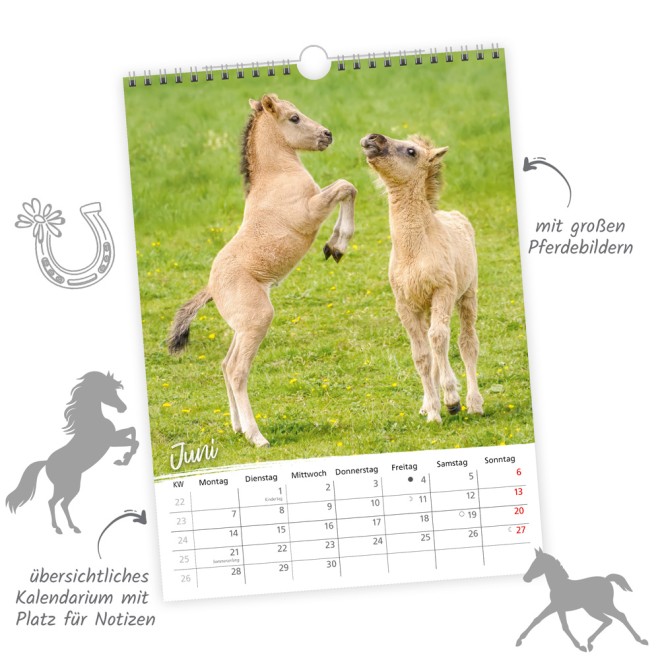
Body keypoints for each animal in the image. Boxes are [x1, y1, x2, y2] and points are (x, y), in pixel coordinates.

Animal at [5, 372, 138, 534]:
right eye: (109, 391)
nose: (123, 408)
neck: (92, 421)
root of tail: (46, 463)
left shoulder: (113, 438)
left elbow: (132, 431)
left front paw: (122, 459)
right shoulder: (110, 441)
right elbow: (134, 441)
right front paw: (124, 460)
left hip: (65, 486)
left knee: (59, 503)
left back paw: (67, 527)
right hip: (69, 485)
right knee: (56, 502)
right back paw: (64, 528)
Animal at [167, 94, 357, 448]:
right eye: (294, 118)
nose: (327, 135)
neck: (277, 176)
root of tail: (210, 287)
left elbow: (345, 187)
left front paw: (334, 246)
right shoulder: (310, 211)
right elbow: (345, 186)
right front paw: (336, 245)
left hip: (241, 327)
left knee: (226, 364)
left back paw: (238, 427)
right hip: (258, 319)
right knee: (238, 370)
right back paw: (257, 436)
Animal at [516, 548, 648, 651]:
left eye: (536, 564)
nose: (525, 578)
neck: (559, 584)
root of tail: (607, 579)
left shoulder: (557, 607)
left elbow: (564, 626)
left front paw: (579, 646)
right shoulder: (555, 607)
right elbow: (537, 619)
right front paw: (519, 640)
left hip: (598, 607)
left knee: (615, 618)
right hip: (597, 608)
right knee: (615, 618)